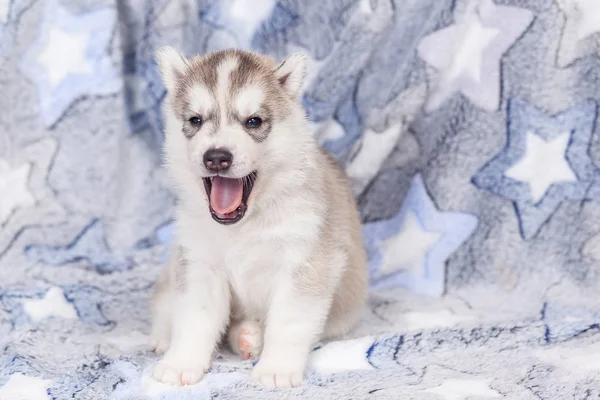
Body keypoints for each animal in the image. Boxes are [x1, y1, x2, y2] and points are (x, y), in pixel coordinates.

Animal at [150, 47, 366, 388]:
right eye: (195, 120)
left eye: (254, 121)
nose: (217, 157)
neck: (245, 225)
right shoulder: (199, 262)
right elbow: (194, 317)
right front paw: (181, 361)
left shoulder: (306, 263)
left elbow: (288, 322)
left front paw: (277, 369)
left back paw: (250, 336)